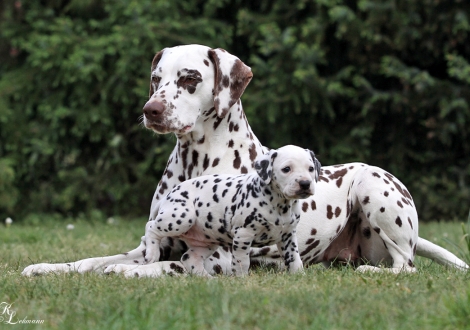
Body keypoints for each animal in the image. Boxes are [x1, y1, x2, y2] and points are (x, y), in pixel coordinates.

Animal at [143, 146, 320, 278]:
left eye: (311, 168)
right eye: (286, 169)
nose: (305, 183)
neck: (279, 205)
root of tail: (169, 195)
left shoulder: (288, 236)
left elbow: (294, 258)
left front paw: (299, 275)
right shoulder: (243, 235)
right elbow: (242, 261)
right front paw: (241, 279)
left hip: (206, 241)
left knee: (189, 259)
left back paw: (207, 279)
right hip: (180, 217)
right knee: (150, 228)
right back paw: (151, 253)